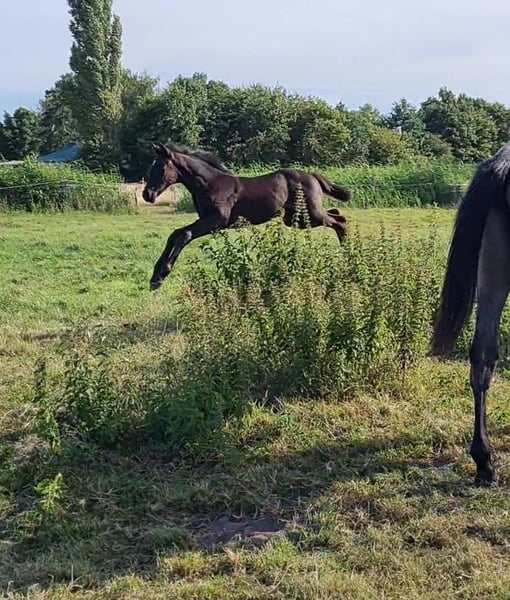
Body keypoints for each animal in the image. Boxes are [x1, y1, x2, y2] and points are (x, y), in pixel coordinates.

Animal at [142, 143, 351, 290]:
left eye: (161, 168)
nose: (147, 194)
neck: (210, 184)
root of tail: (313, 176)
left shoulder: (217, 222)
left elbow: (184, 235)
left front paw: (162, 275)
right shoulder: (207, 220)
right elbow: (175, 234)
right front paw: (155, 277)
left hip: (309, 214)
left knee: (340, 221)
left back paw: (348, 255)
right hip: (296, 219)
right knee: (337, 215)